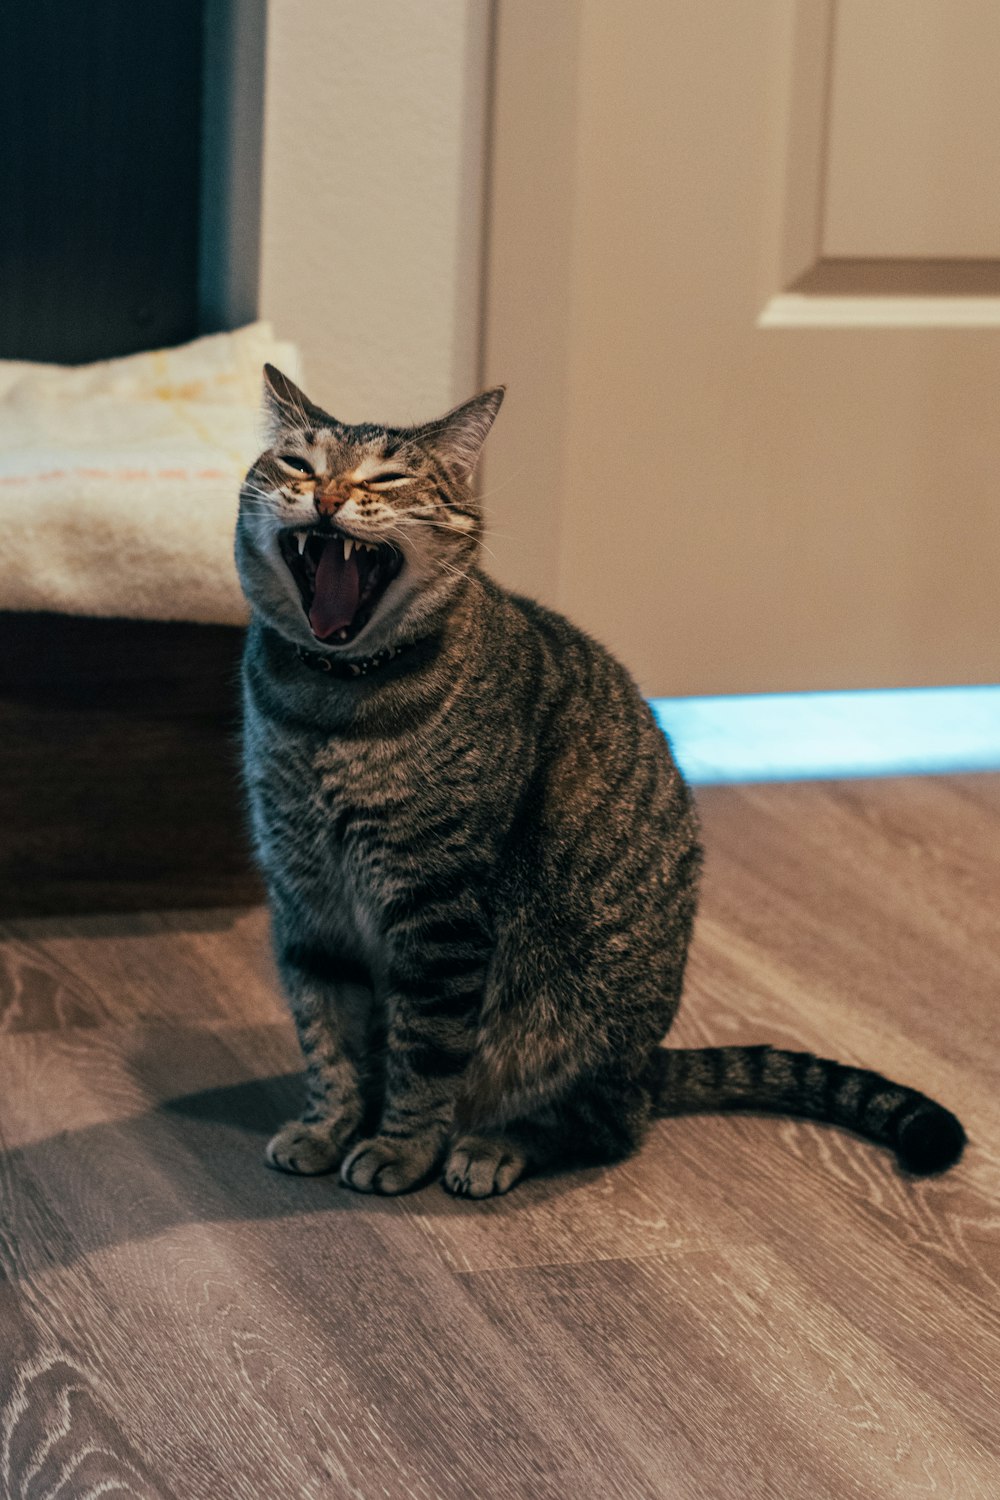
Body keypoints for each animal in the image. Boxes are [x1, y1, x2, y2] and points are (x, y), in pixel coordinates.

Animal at [232, 369, 959, 1200]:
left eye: (385, 477)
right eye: (299, 464)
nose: (326, 497)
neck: (328, 708)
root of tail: (650, 1064)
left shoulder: (440, 910)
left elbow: (424, 1053)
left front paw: (399, 1149)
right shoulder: (305, 899)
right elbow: (327, 1038)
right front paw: (326, 1127)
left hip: (569, 1013)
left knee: (596, 1123)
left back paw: (491, 1146)